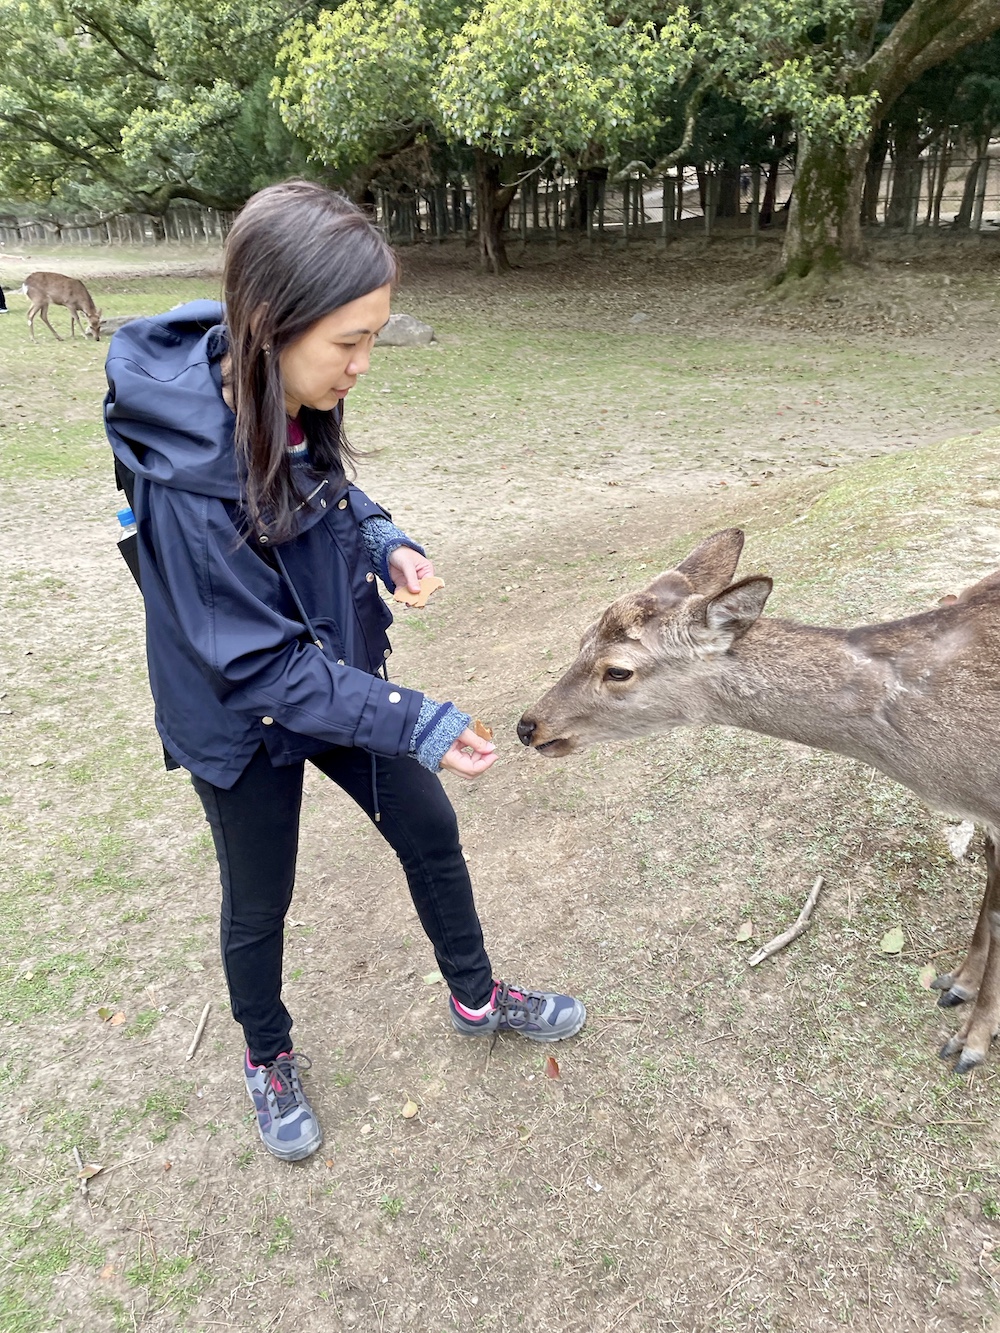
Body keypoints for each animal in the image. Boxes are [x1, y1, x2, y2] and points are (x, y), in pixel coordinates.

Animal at [520, 525, 1000, 1077]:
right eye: (580, 640)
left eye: (618, 671)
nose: (529, 726)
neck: (944, 770)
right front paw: (958, 985)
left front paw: (971, 1044)